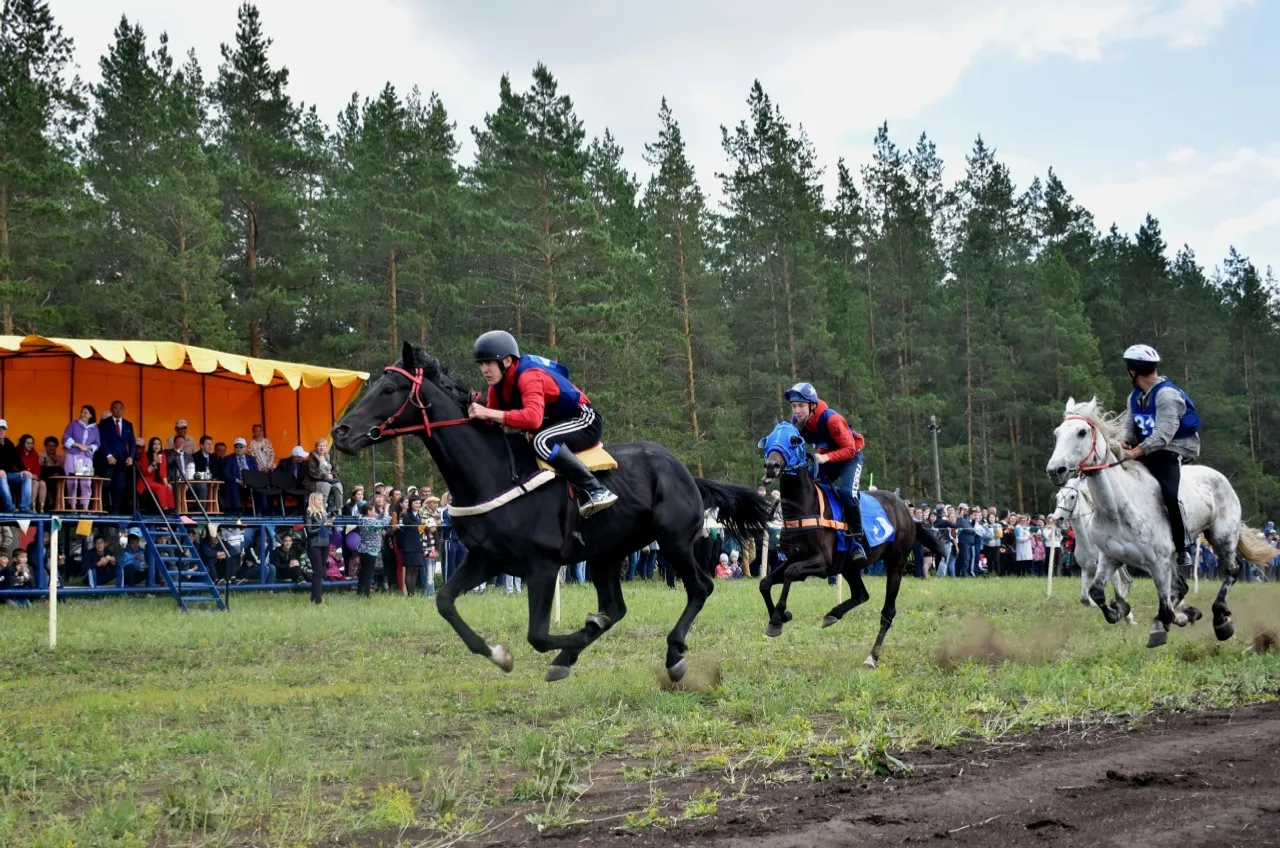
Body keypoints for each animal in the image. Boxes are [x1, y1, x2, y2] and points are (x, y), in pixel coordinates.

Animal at [332, 343, 773, 683]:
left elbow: (538, 635)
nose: (340, 432)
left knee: (700, 587)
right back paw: (573, 656)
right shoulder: (486, 559)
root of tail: (685, 472)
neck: (493, 472)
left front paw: (572, 638)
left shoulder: (541, 566)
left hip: (674, 540)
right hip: (607, 553)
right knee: (617, 607)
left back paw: (674, 655)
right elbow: (444, 600)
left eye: (389, 388)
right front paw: (500, 655)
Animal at [758, 421, 945, 669]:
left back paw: (872, 657)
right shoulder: (795, 558)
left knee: (888, 611)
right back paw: (833, 614)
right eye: (769, 438)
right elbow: (765, 582)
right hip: (849, 566)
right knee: (861, 594)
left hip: (896, 563)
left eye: (794, 440)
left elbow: (789, 573)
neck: (804, 507)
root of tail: (906, 511)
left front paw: (779, 617)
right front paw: (778, 619)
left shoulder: (821, 563)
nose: (772, 466)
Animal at [1052, 478, 1136, 626]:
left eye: (1072, 496)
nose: (1057, 519)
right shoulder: (1086, 570)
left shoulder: (1110, 571)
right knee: (1128, 581)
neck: (1089, 541)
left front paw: (1126, 616)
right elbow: (1085, 599)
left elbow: (1118, 594)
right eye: (1057, 497)